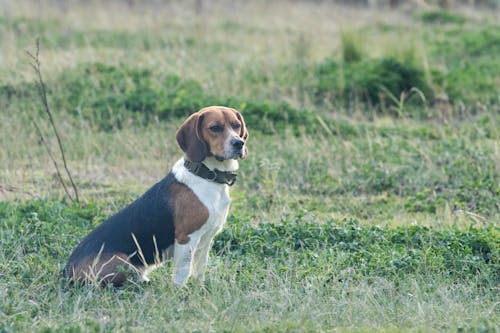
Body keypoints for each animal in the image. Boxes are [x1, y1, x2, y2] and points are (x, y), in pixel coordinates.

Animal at [61, 106, 249, 286]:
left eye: (236, 125)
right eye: (215, 128)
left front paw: (199, 289)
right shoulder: (186, 238)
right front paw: (179, 293)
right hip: (124, 262)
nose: (239, 143)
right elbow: (182, 273)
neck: (207, 176)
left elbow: (199, 269)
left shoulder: (206, 239)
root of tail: (65, 272)